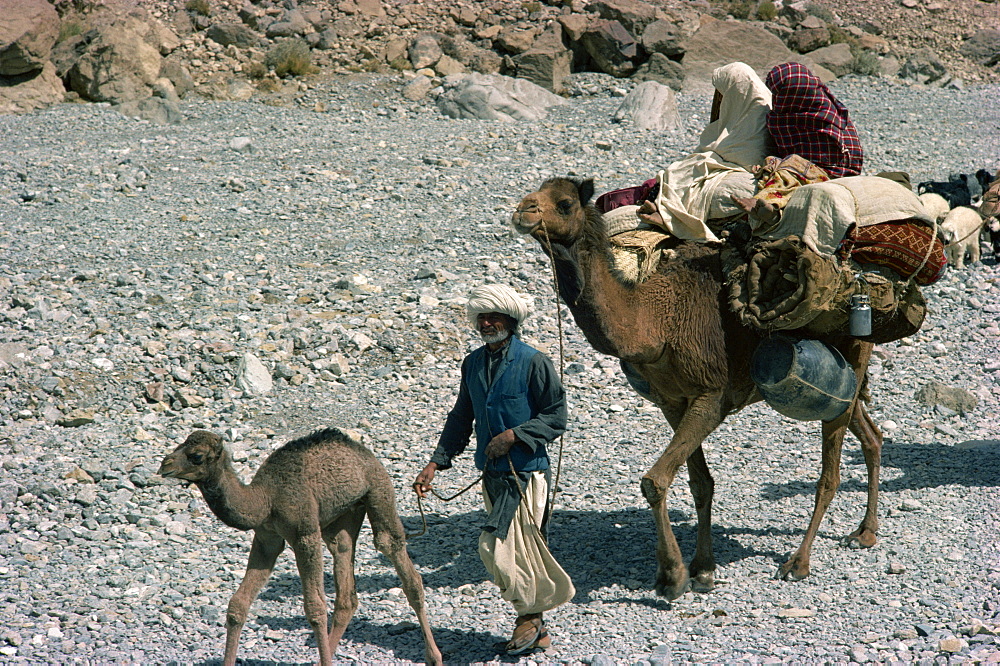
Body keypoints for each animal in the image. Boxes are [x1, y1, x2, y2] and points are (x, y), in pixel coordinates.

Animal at [157, 426, 442, 664]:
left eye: (196, 455)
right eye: (180, 443)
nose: (164, 464)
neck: (267, 499)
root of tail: (362, 451)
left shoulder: (304, 534)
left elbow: (315, 609)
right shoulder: (266, 538)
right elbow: (238, 605)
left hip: (378, 490)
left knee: (396, 556)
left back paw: (434, 657)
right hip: (342, 515)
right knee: (344, 567)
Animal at [512, 175, 880, 596]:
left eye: (565, 204)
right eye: (535, 194)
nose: (523, 211)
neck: (656, 324)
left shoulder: (712, 396)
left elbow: (655, 480)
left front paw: (672, 576)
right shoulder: (673, 401)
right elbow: (700, 483)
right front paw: (703, 569)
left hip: (855, 347)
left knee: (830, 472)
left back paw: (798, 562)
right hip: (846, 378)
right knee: (870, 434)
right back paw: (866, 532)